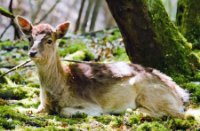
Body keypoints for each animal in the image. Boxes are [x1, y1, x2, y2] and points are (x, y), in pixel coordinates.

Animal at [16, 15, 189, 117]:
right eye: (29, 38)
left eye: (49, 40)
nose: (32, 53)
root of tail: (181, 94)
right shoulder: (42, 104)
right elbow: (31, 109)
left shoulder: (92, 105)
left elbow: (64, 111)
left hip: (149, 92)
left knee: (178, 114)